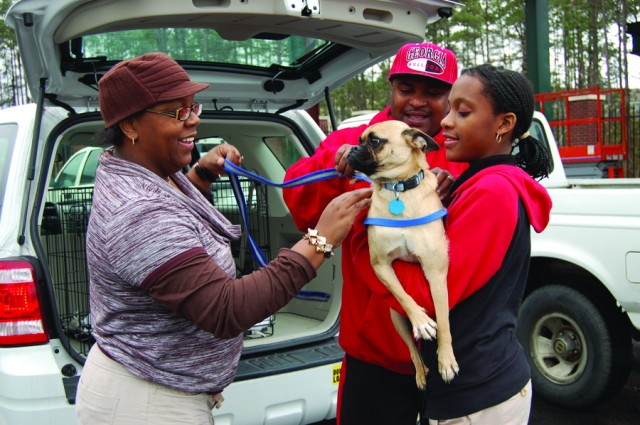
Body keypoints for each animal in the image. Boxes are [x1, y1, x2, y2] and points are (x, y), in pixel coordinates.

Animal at [348, 119, 458, 388]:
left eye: (374, 141)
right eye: (359, 140)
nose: (352, 150)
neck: (398, 189)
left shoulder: (436, 273)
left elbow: (444, 321)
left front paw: (446, 360)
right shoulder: (380, 265)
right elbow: (403, 295)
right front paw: (421, 321)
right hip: (396, 319)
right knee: (412, 348)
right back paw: (420, 372)